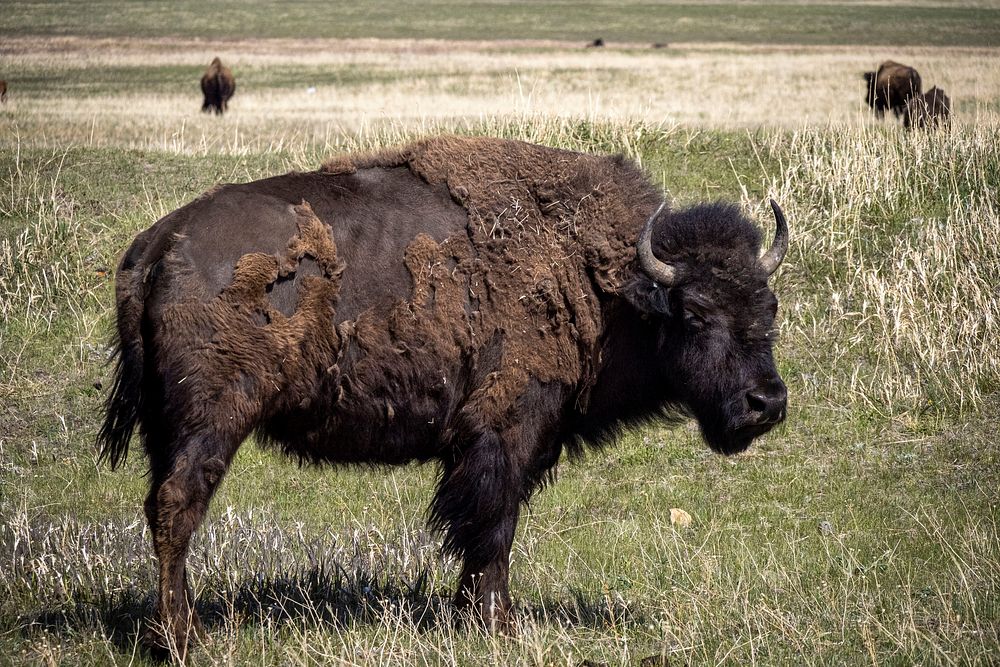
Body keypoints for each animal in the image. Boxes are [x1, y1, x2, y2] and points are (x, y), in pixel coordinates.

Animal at [101, 137, 788, 664]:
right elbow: (492, 526)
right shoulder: (504, 433)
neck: (605, 284)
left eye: (769, 306)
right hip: (212, 419)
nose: (767, 402)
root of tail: (159, 243)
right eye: (695, 313)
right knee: (179, 505)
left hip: (168, 426)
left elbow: (484, 528)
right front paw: (496, 624)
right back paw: (182, 641)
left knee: (160, 505)